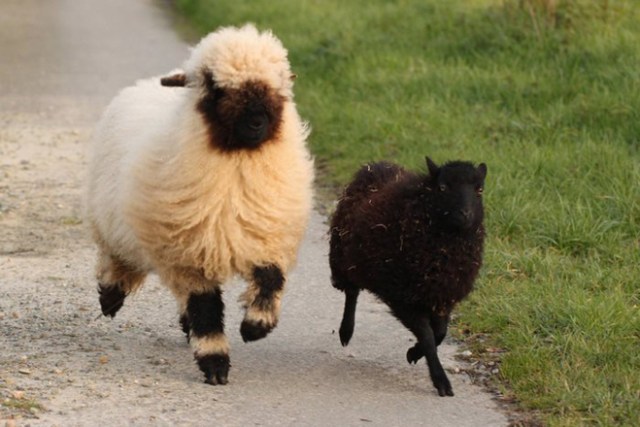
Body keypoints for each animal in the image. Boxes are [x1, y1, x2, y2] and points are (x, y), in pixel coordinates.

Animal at [85, 24, 316, 388]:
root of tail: (152, 81)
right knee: (116, 258)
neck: (236, 161)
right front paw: (215, 363)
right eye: (216, 87)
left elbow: (269, 279)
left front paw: (256, 325)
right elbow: (205, 308)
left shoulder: (265, 237)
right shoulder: (188, 255)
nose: (257, 121)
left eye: (277, 83)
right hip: (114, 221)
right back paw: (110, 296)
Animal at [328, 157, 488, 398]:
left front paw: (413, 353)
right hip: (345, 259)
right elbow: (429, 337)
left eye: (479, 189)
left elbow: (440, 333)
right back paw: (346, 331)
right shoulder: (404, 297)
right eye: (443, 187)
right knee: (352, 293)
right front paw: (441, 381)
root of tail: (378, 165)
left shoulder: (441, 296)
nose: (465, 215)